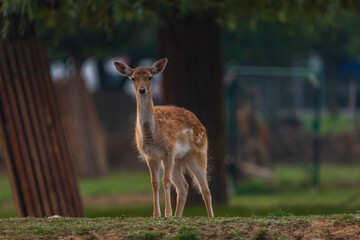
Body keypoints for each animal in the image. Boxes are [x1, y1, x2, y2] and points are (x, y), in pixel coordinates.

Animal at [113, 58, 214, 218]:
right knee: (184, 186)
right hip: (178, 161)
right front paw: (156, 214)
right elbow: (154, 183)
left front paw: (167, 213)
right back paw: (178, 216)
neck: (152, 135)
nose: (142, 90)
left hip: (198, 153)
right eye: (133, 78)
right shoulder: (150, 156)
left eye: (150, 77)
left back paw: (210, 217)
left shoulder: (169, 150)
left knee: (205, 188)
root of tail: (202, 126)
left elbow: (165, 181)